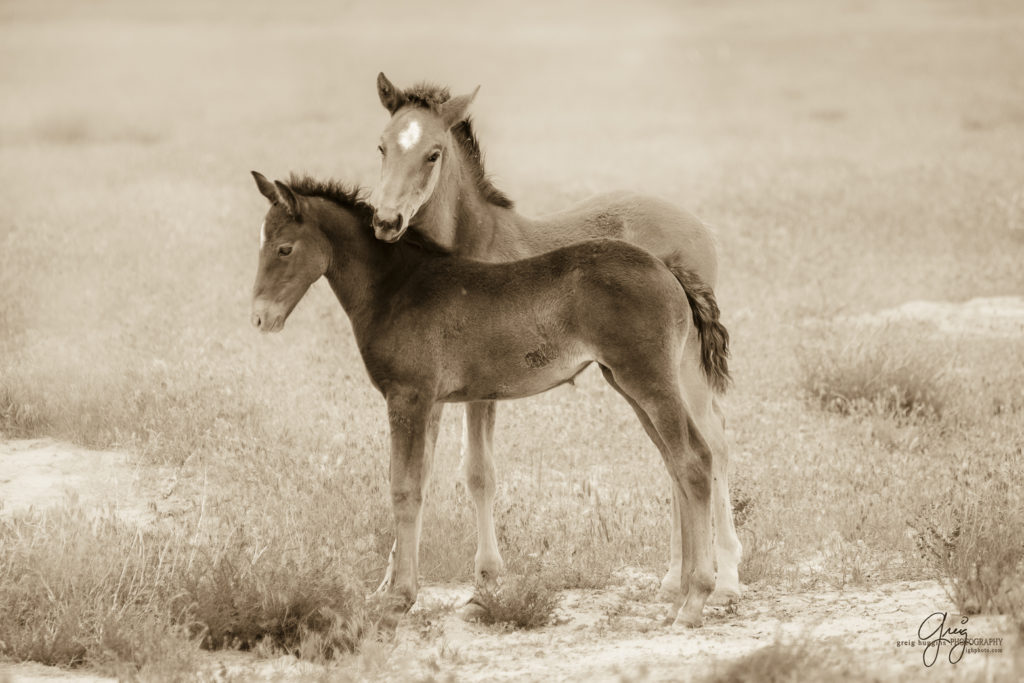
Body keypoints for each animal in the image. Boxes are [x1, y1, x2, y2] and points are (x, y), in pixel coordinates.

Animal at [246, 172, 729, 630]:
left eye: (285, 248)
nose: (261, 318)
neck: (398, 288)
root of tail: (667, 269)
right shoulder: (431, 403)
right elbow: (420, 484)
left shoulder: (408, 397)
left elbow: (403, 489)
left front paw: (399, 599)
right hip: (628, 385)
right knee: (676, 464)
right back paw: (682, 594)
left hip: (648, 380)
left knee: (694, 459)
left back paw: (697, 599)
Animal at [372, 73, 741, 610]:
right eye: (381, 146)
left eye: (433, 154)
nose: (385, 222)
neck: (469, 247)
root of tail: (702, 228)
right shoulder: (427, 391)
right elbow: (414, 475)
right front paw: (388, 583)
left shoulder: (479, 390)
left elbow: (478, 472)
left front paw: (487, 578)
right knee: (676, 454)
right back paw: (675, 578)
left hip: (683, 370)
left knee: (713, 442)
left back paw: (727, 578)